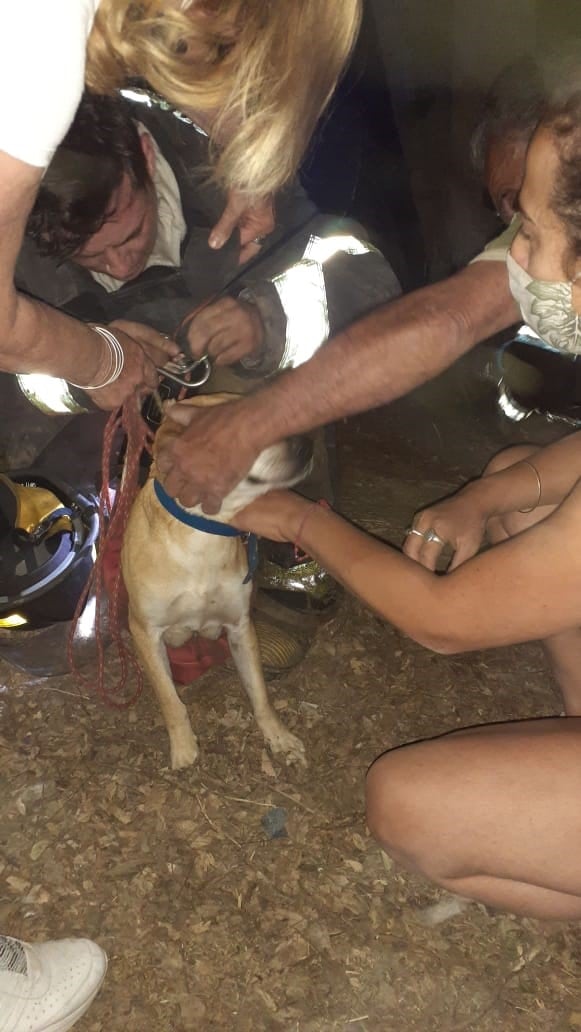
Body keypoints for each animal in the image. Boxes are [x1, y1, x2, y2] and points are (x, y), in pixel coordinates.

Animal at [120, 392, 311, 767]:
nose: (308, 442)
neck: (203, 535)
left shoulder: (240, 626)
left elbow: (260, 695)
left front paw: (278, 737)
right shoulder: (146, 631)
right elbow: (169, 699)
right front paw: (183, 748)